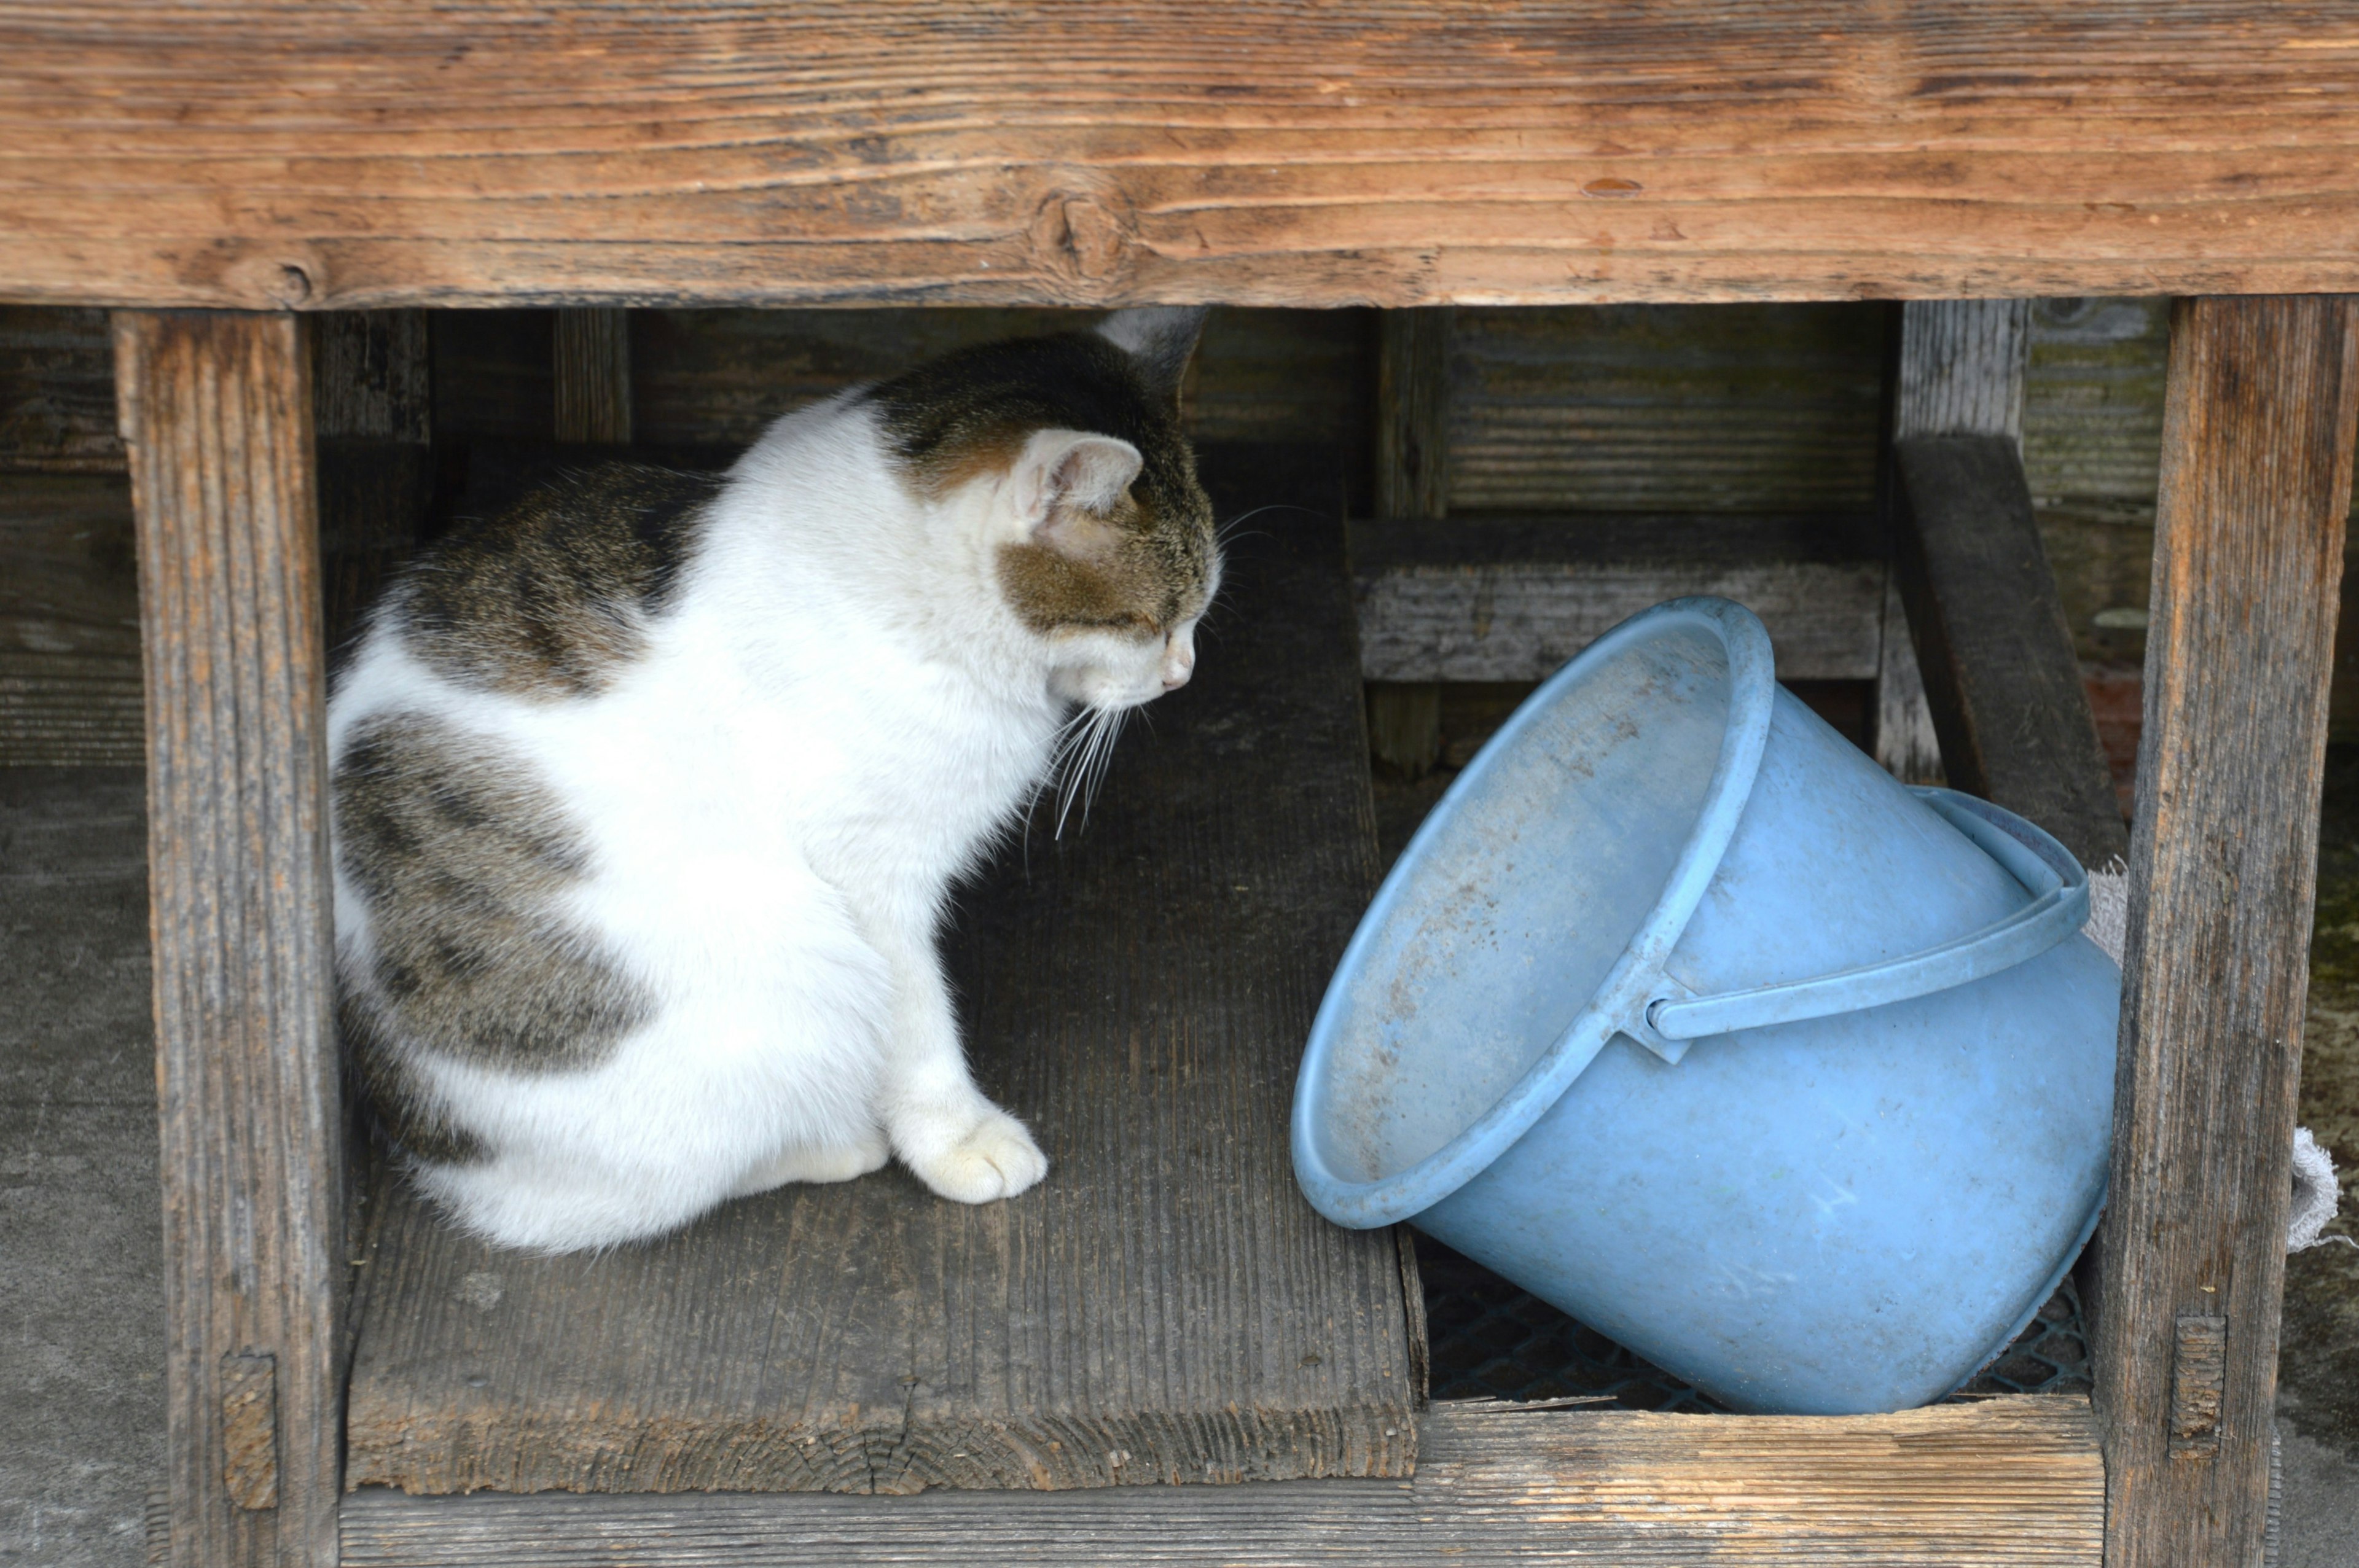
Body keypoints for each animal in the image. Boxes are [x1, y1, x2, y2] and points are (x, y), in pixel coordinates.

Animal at [327, 311, 1217, 1254]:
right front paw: (957, 1135)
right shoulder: (870, 875)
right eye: (1150, 621)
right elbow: (917, 1019)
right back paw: (829, 1145)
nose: (1183, 675)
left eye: (1195, 614)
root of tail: (427, 1143)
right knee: (614, 1198)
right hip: (786, 980)